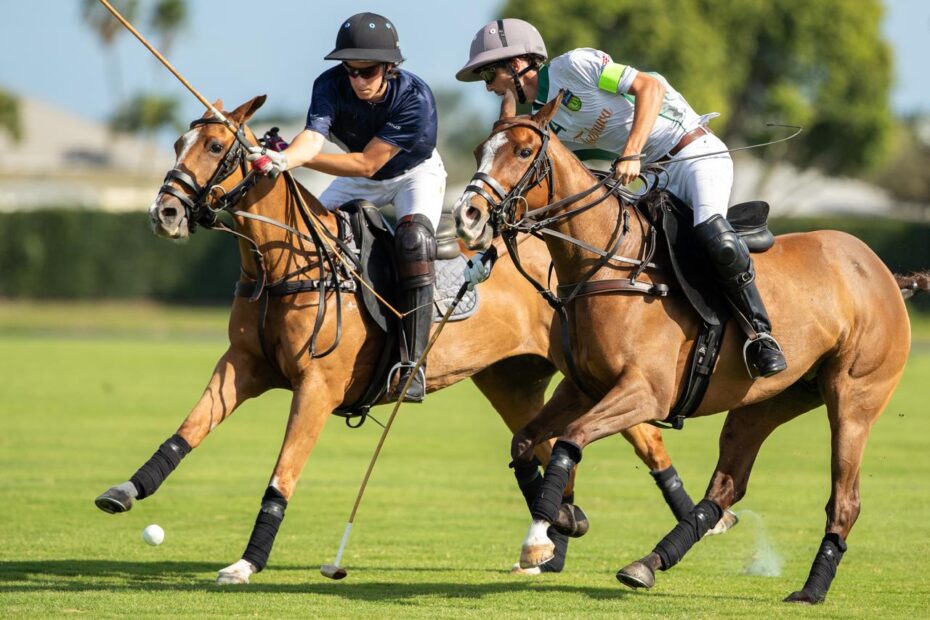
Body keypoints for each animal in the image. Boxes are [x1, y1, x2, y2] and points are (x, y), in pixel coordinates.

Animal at [94, 97, 720, 588]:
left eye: (216, 144)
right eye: (179, 141)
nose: (165, 210)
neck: (286, 265)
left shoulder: (316, 386)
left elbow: (282, 475)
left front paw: (246, 563)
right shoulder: (242, 366)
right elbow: (188, 430)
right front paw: (125, 490)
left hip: (600, 374)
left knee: (646, 442)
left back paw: (697, 523)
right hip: (511, 380)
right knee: (545, 445)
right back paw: (557, 537)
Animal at [454, 94, 924, 604]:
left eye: (523, 152)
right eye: (480, 149)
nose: (467, 216)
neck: (608, 263)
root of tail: (885, 273)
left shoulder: (646, 393)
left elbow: (568, 441)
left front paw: (543, 535)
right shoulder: (582, 390)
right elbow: (524, 442)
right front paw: (563, 519)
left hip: (854, 399)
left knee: (845, 500)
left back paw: (811, 589)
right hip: (765, 402)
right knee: (725, 488)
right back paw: (649, 563)